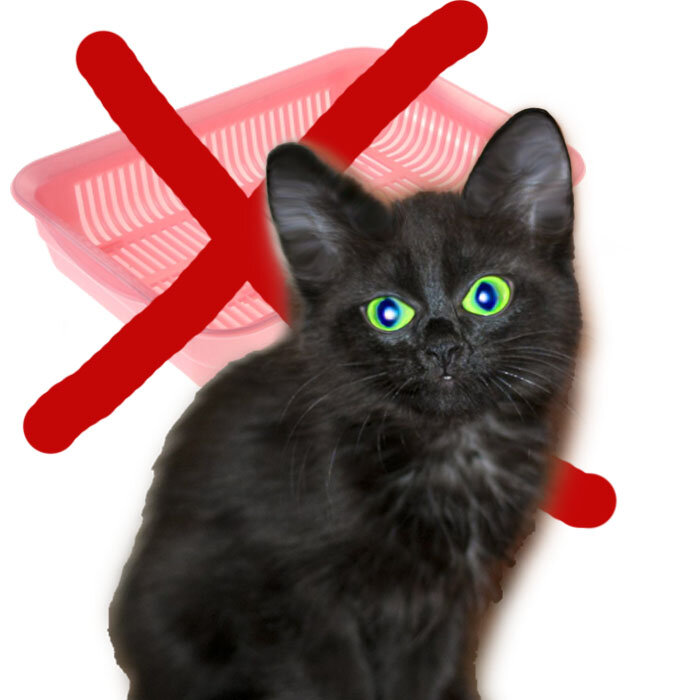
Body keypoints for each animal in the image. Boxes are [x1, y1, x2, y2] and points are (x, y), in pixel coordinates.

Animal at [109, 108, 581, 700]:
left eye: (486, 295)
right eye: (388, 313)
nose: (442, 346)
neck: (447, 447)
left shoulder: (448, 603)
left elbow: (422, 680)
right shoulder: (295, 603)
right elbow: (332, 684)